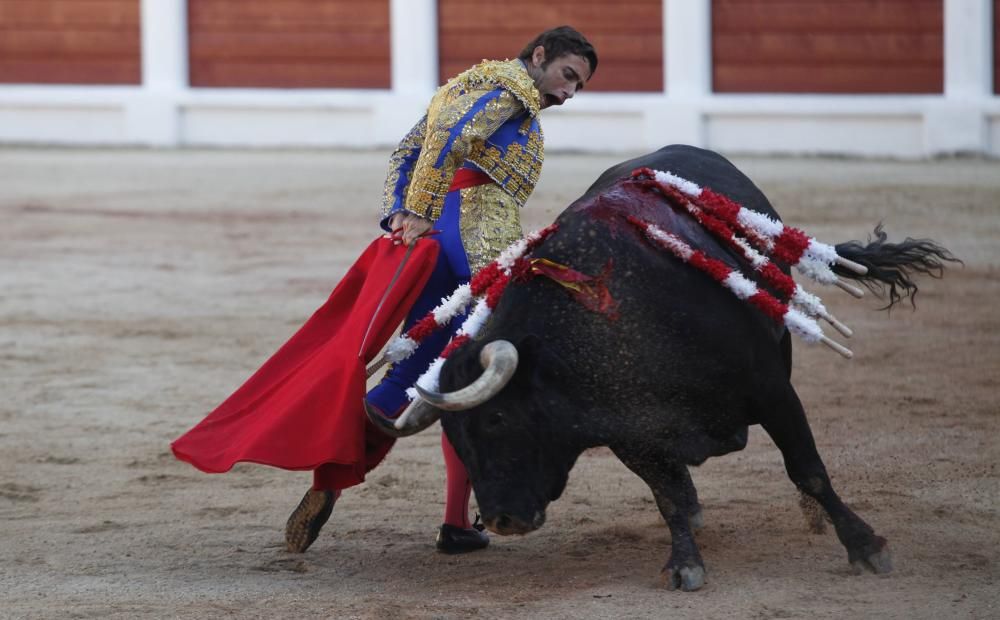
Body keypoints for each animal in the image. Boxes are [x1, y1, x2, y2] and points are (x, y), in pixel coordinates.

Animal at [366, 145, 952, 592]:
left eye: (497, 420)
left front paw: (866, 546)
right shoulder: (631, 431)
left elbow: (806, 467)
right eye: (454, 438)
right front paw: (684, 563)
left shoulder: (771, 390)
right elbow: (667, 495)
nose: (501, 521)